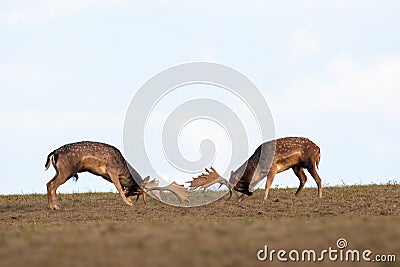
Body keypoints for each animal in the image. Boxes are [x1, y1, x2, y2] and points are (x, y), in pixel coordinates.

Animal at [44, 141, 188, 210]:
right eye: (137, 192)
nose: (131, 198)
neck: (122, 167)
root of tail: (53, 153)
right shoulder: (111, 170)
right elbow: (118, 187)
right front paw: (128, 203)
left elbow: (119, 187)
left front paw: (129, 201)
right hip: (66, 171)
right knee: (52, 184)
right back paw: (55, 206)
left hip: (59, 171)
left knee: (48, 183)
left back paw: (52, 206)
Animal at [188, 138, 322, 201]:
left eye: (238, 186)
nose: (249, 194)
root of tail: (318, 148)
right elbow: (254, 183)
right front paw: (241, 199)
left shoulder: (273, 167)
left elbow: (267, 184)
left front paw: (264, 198)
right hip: (296, 166)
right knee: (304, 179)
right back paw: (296, 195)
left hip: (310, 162)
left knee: (318, 179)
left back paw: (319, 196)